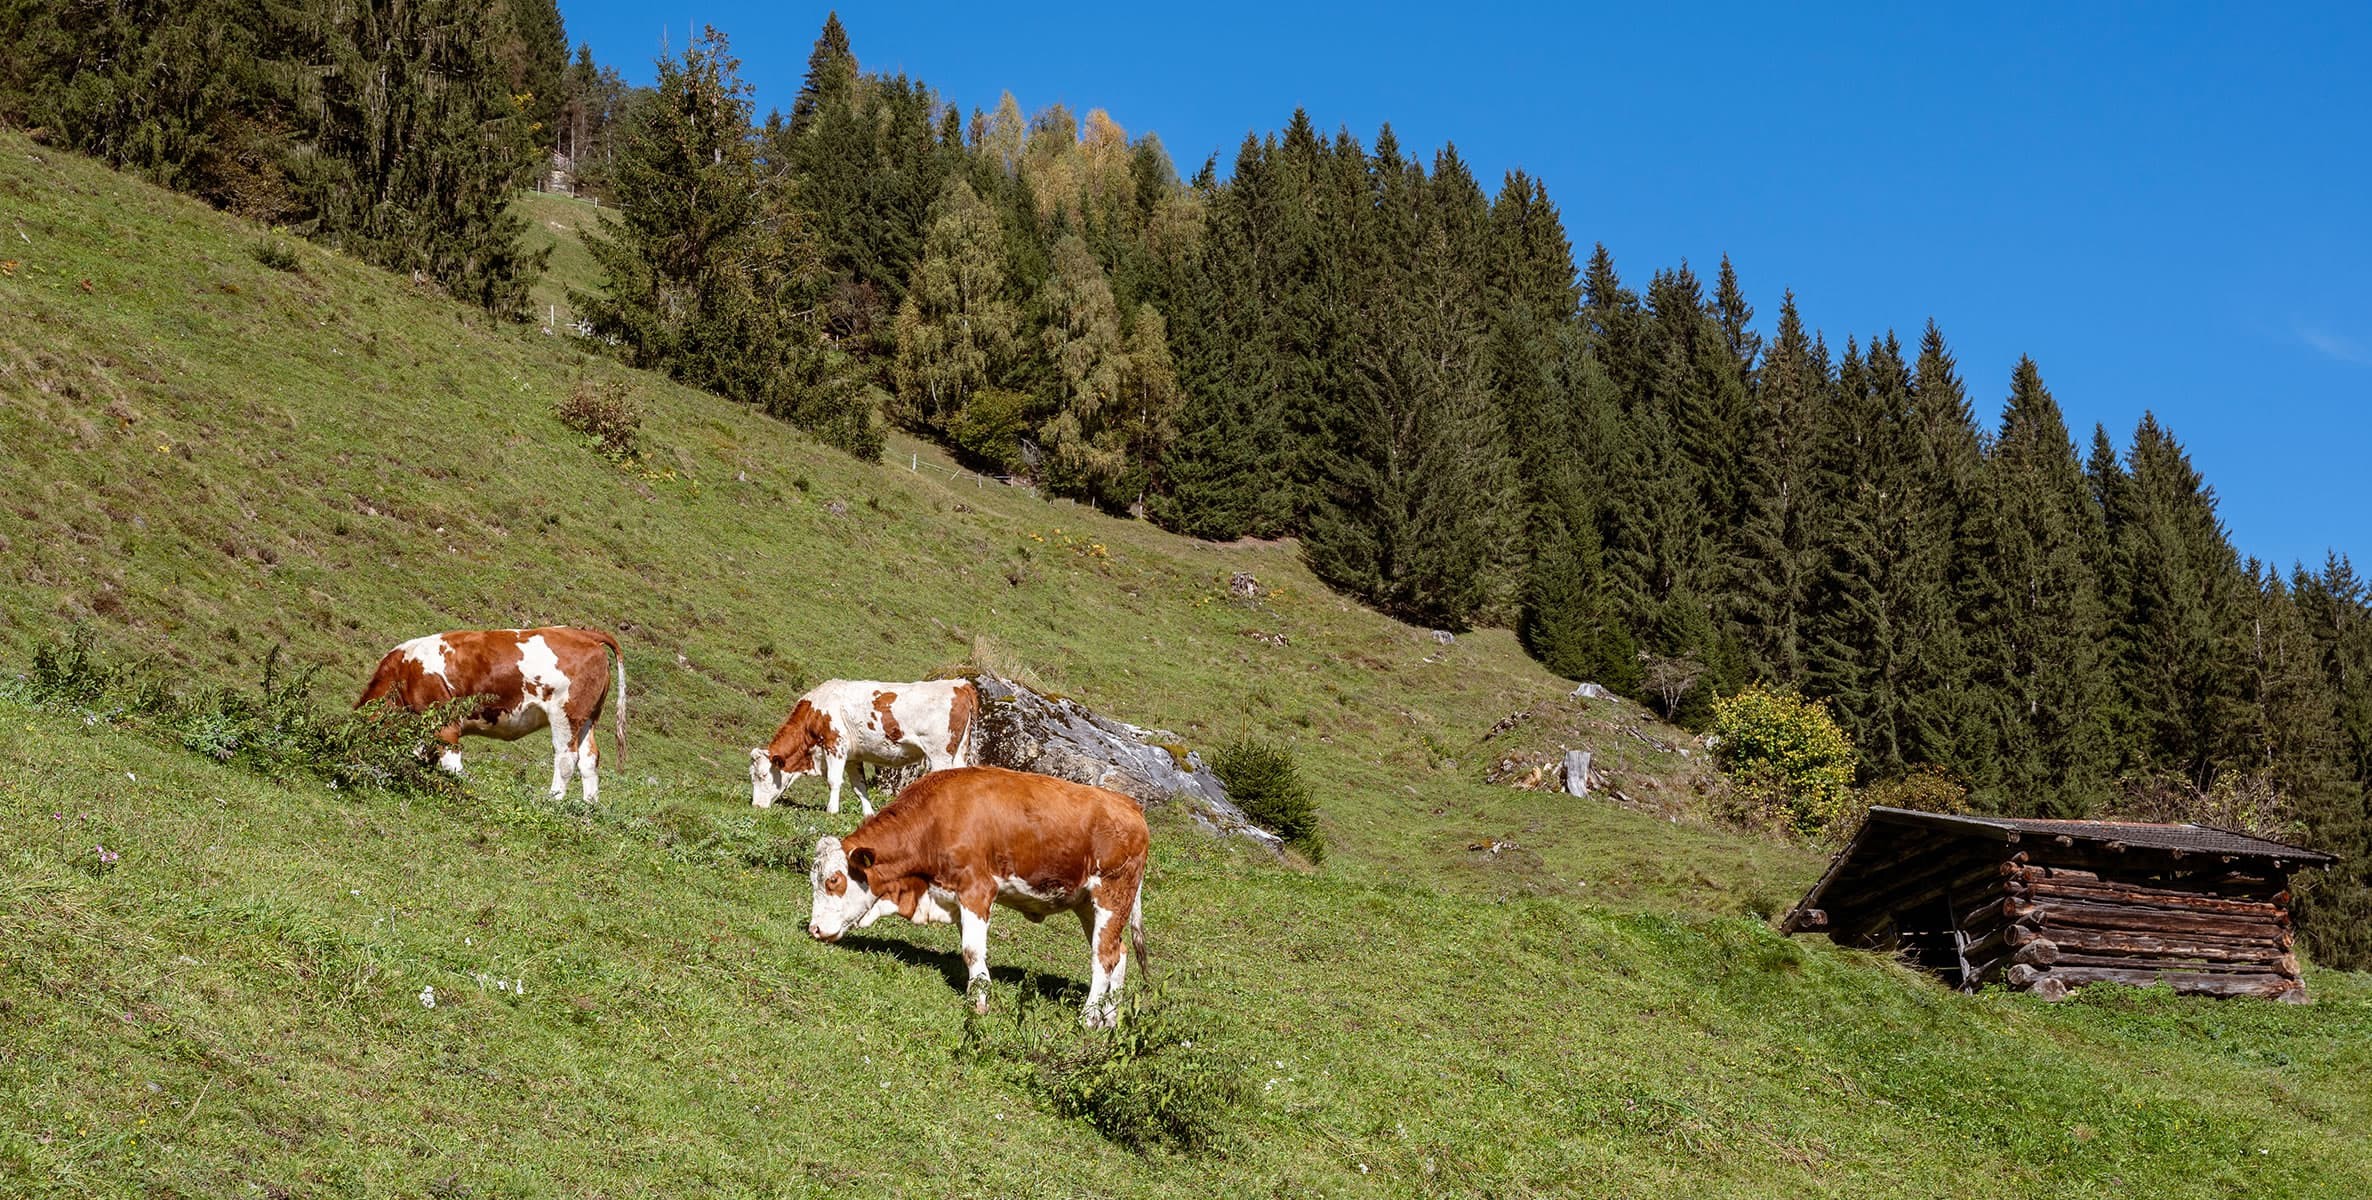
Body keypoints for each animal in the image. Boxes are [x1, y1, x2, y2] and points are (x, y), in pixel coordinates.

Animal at [355, 626, 624, 801]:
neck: (403, 673)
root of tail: (584, 634)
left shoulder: (444, 720)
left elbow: (452, 764)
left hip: (565, 714)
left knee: (566, 758)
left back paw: (553, 800)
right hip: (588, 718)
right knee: (589, 759)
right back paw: (587, 808)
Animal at [750, 678, 979, 816]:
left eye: (762, 775)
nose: (756, 806)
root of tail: (959, 684)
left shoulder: (835, 744)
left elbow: (834, 781)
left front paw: (832, 811)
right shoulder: (853, 756)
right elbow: (859, 787)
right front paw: (868, 813)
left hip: (940, 753)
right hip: (959, 750)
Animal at [806, 766, 1150, 1027]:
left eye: (834, 880)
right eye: (814, 880)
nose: (814, 929)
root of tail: (1128, 803)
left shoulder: (977, 889)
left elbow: (972, 951)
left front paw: (979, 1002)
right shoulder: (954, 896)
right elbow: (970, 948)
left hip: (1111, 895)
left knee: (1103, 957)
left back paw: (1088, 1018)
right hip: (1088, 904)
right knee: (1118, 952)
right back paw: (1109, 1018)